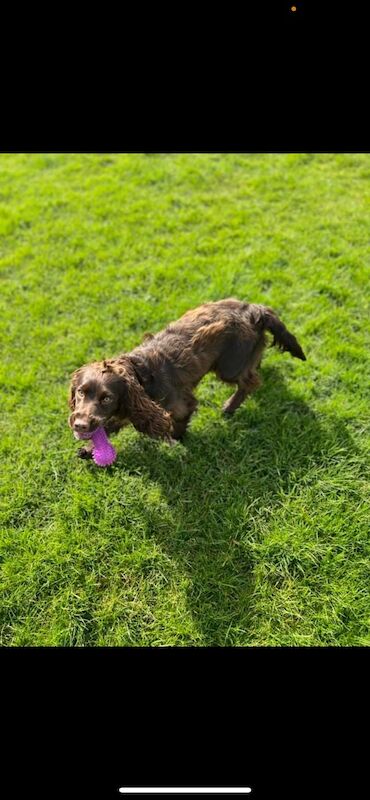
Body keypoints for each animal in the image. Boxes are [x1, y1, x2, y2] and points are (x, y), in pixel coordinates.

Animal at [68, 298, 304, 456]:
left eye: (107, 398)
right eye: (80, 392)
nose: (79, 425)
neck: (141, 375)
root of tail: (254, 309)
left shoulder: (180, 405)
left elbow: (178, 423)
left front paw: (176, 438)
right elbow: (107, 426)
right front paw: (89, 449)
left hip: (229, 366)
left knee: (250, 382)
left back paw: (229, 406)